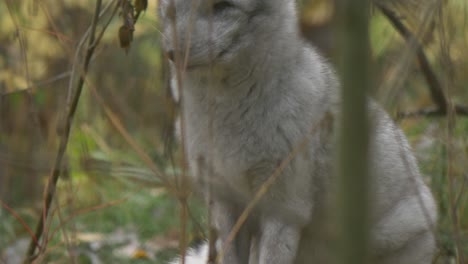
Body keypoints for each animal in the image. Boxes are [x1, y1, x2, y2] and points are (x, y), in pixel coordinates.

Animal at [159, 0, 436, 264]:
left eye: (221, 6)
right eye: (171, 10)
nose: (173, 54)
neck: (227, 114)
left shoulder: (284, 208)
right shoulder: (225, 203)